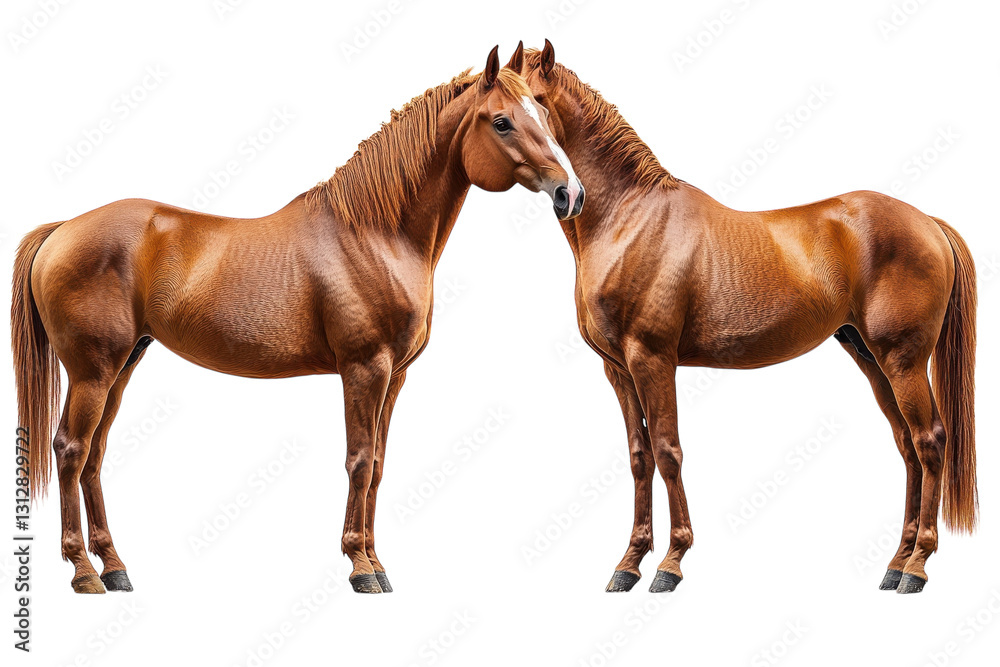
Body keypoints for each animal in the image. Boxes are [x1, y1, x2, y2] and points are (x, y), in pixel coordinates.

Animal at [11, 46, 585, 595]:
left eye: (544, 113)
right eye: (502, 121)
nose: (571, 194)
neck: (375, 234)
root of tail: (62, 228)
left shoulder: (394, 377)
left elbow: (378, 465)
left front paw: (377, 563)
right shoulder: (364, 369)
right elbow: (359, 460)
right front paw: (360, 567)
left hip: (123, 365)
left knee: (94, 455)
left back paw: (115, 568)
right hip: (93, 371)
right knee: (70, 450)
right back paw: (83, 572)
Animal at [511, 41, 976, 594]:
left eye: (537, 106)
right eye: (503, 113)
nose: (567, 195)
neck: (629, 220)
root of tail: (928, 222)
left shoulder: (652, 360)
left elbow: (668, 451)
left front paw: (670, 563)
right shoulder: (618, 369)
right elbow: (639, 457)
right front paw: (628, 564)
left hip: (903, 359)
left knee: (930, 442)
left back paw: (917, 566)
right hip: (870, 357)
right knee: (907, 446)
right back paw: (895, 562)